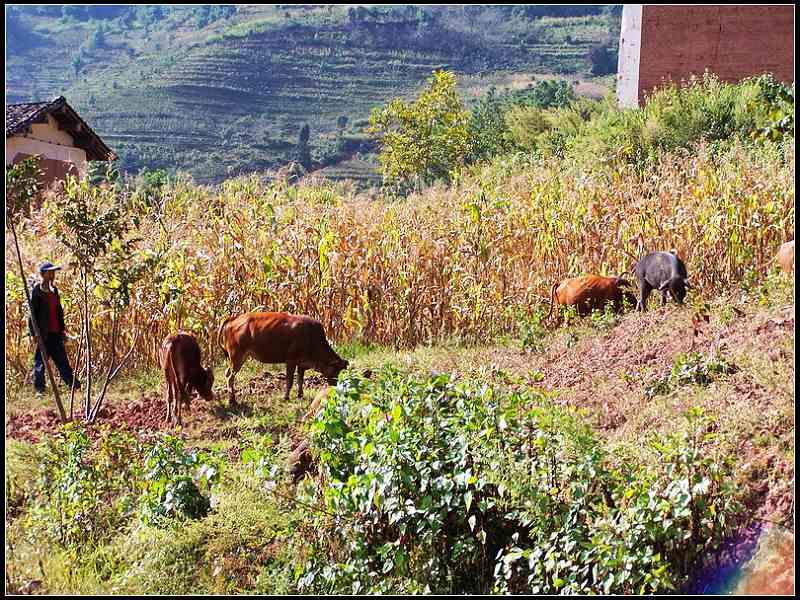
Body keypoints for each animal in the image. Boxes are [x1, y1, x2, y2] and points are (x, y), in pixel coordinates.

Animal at [217, 312, 348, 406]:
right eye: (336, 371)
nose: (335, 387)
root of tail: (234, 318)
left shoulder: (302, 363)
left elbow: (300, 380)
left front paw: (300, 395)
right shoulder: (291, 360)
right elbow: (289, 381)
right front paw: (286, 397)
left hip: (236, 359)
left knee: (227, 373)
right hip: (237, 357)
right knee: (230, 377)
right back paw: (232, 401)